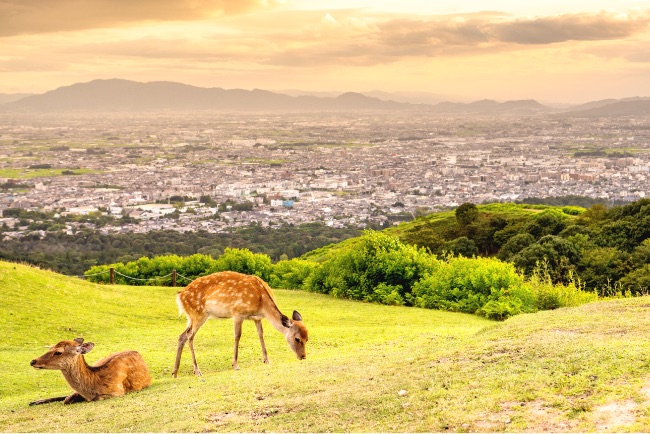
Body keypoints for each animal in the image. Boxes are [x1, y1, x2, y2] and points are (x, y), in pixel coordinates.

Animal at [172, 272, 308, 376]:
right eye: (297, 339)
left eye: (307, 338)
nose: (303, 356)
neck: (261, 302)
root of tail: (180, 296)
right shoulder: (238, 313)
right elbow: (237, 336)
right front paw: (235, 364)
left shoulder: (257, 318)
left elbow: (261, 335)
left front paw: (267, 360)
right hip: (198, 314)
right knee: (190, 336)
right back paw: (197, 370)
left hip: (191, 317)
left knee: (182, 335)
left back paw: (175, 372)